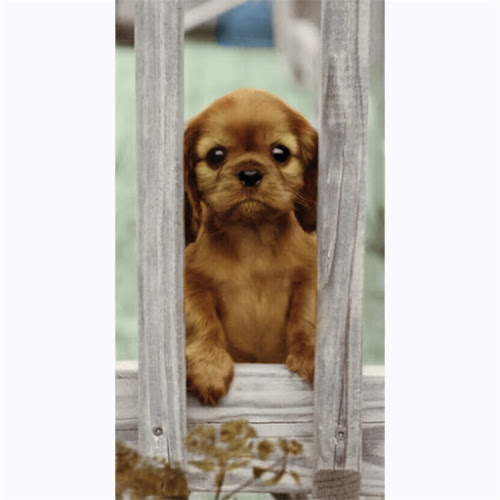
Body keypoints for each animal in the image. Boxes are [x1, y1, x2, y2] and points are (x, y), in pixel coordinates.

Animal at [183, 89, 317, 405]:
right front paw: (209, 365)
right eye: (216, 155)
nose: (249, 174)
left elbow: (306, 314)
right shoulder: (191, 281)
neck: (252, 234)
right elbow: (200, 319)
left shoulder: (309, 275)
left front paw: (309, 353)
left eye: (280, 153)